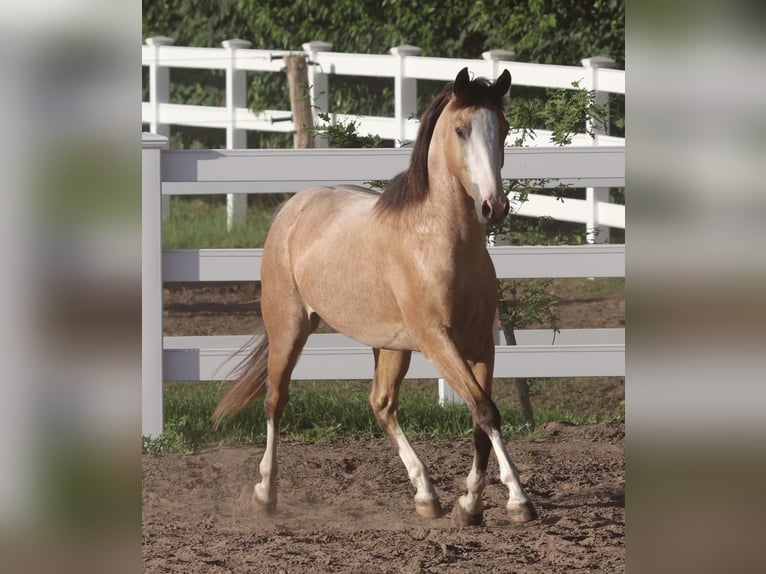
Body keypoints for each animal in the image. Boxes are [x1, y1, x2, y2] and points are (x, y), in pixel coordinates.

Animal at [213, 67, 538, 526]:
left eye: (504, 129)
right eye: (461, 129)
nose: (494, 206)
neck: (438, 242)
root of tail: (294, 207)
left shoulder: (479, 345)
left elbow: (481, 416)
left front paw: (471, 503)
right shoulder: (437, 340)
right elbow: (485, 409)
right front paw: (515, 500)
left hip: (389, 346)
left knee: (381, 404)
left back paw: (426, 495)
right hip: (288, 330)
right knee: (275, 401)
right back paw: (265, 494)